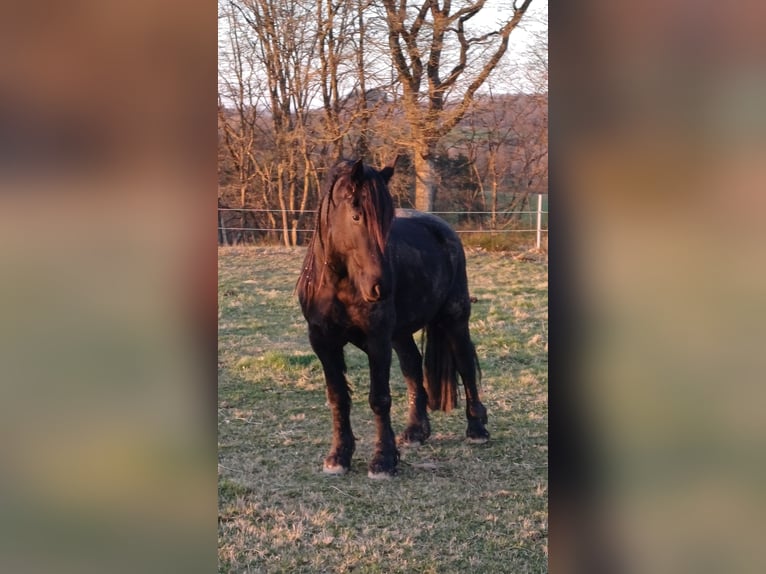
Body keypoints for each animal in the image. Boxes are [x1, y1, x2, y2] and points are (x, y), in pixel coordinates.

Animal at [296, 159, 489, 478]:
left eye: (387, 222)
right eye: (356, 216)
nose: (381, 287)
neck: (339, 282)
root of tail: (443, 228)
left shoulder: (377, 340)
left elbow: (379, 398)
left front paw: (383, 460)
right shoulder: (323, 342)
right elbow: (338, 397)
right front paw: (338, 456)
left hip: (455, 319)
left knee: (465, 364)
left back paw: (477, 428)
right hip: (400, 333)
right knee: (413, 366)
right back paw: (415, 431)